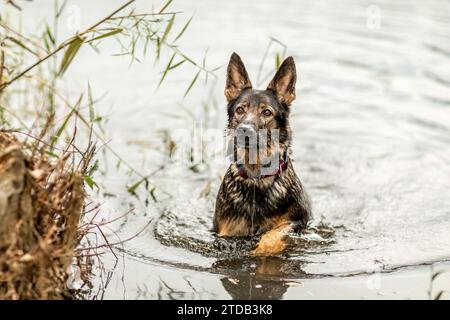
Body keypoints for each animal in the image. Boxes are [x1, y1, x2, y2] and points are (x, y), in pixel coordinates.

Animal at [213, 53, 312, 256]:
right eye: (240, 110)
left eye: (267, 112)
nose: (244, 131)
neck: (256, 178)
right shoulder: (225, 231)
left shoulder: (297, 222)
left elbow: (275, 232)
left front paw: (264, 248)